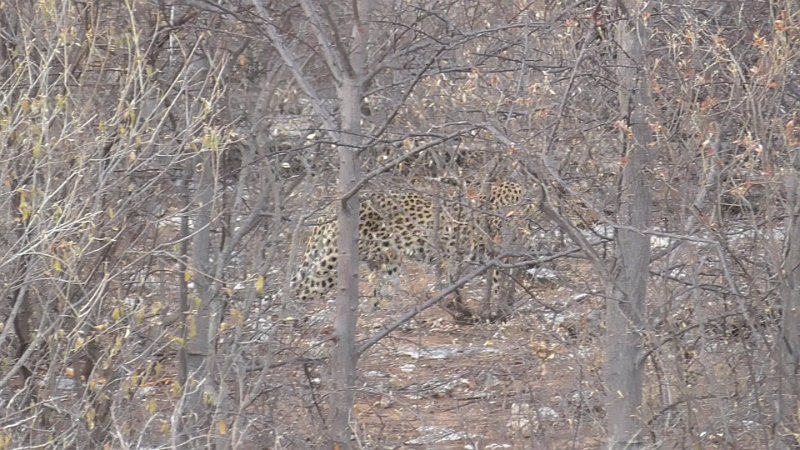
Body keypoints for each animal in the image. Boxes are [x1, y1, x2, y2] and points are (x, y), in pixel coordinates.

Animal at [291, 181, 527, 303]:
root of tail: (332, 209)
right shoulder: (499, 251)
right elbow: (498, 282)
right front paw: (498, 309)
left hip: (388, 262)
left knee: (383, 293)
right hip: (333, 262)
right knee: (301, 289)